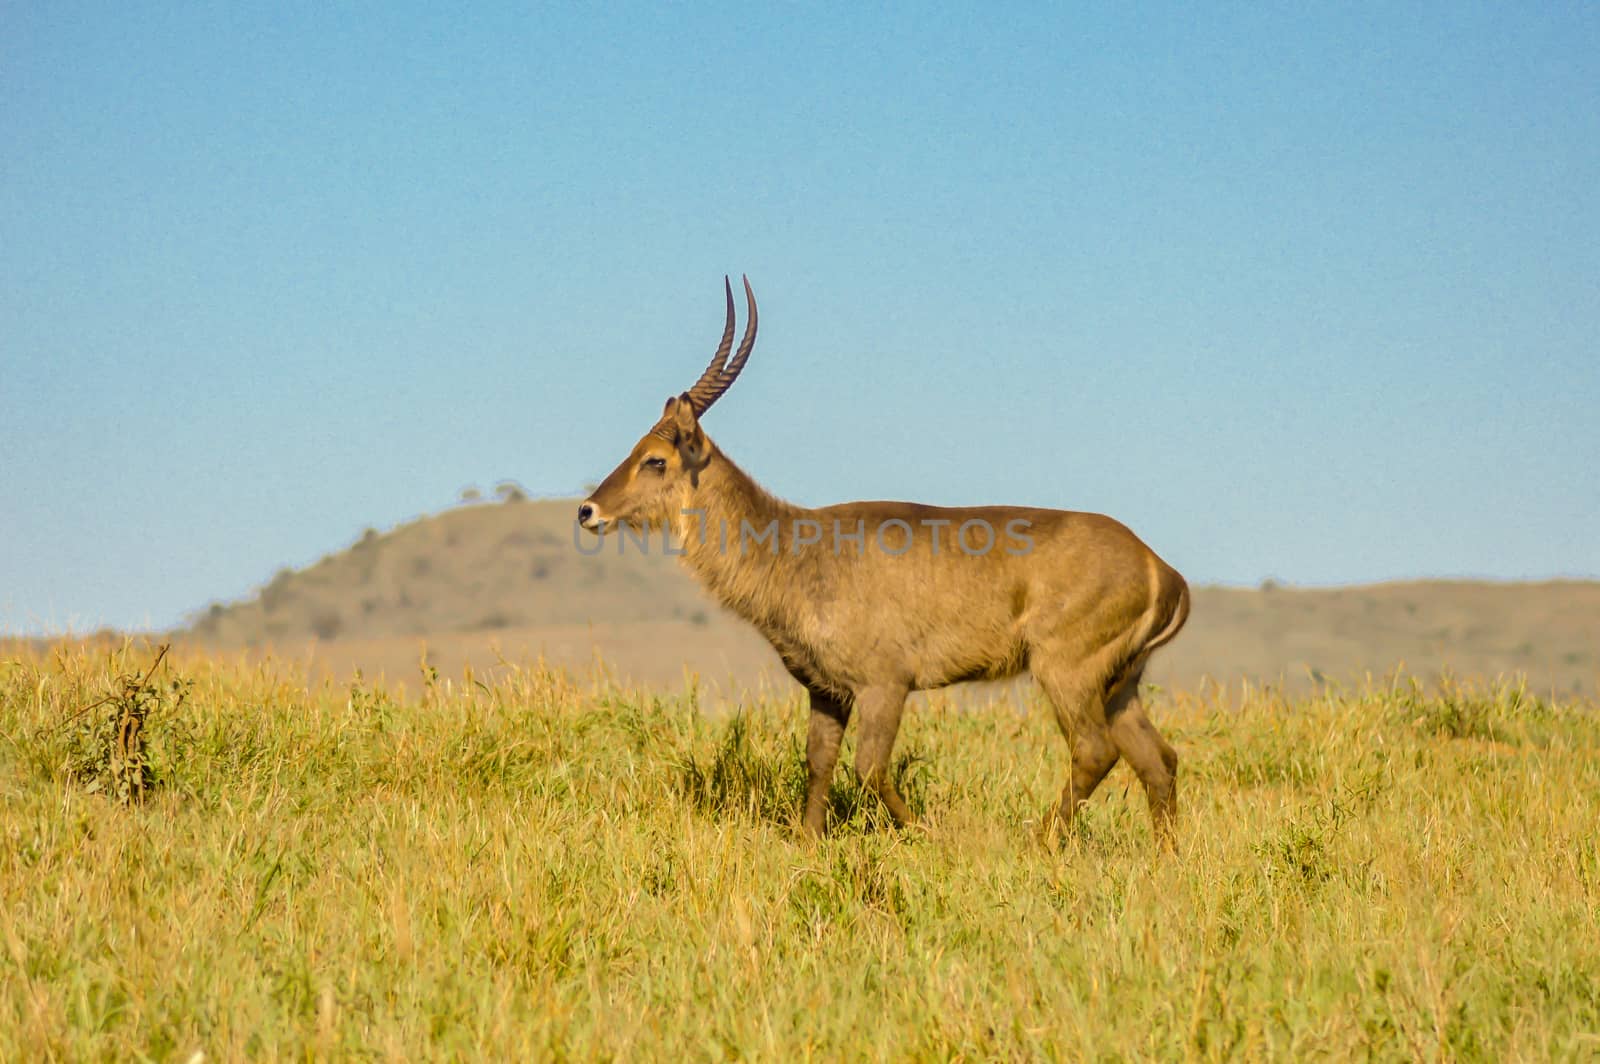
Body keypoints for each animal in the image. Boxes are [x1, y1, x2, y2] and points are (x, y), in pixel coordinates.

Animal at [579, 278, 1190, 844]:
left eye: (655, 459)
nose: (587, 510)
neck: (793, 548)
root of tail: (1162, 568)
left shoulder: (884, 685)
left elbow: (868, 769)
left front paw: (926, 835)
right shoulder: (826, 692)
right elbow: (819, 763)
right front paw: (809, 843)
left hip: (1067, 671)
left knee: (1094, 751)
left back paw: (1039, 841)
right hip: (1119, 684)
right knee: (1158, 759)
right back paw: (1163, 859)